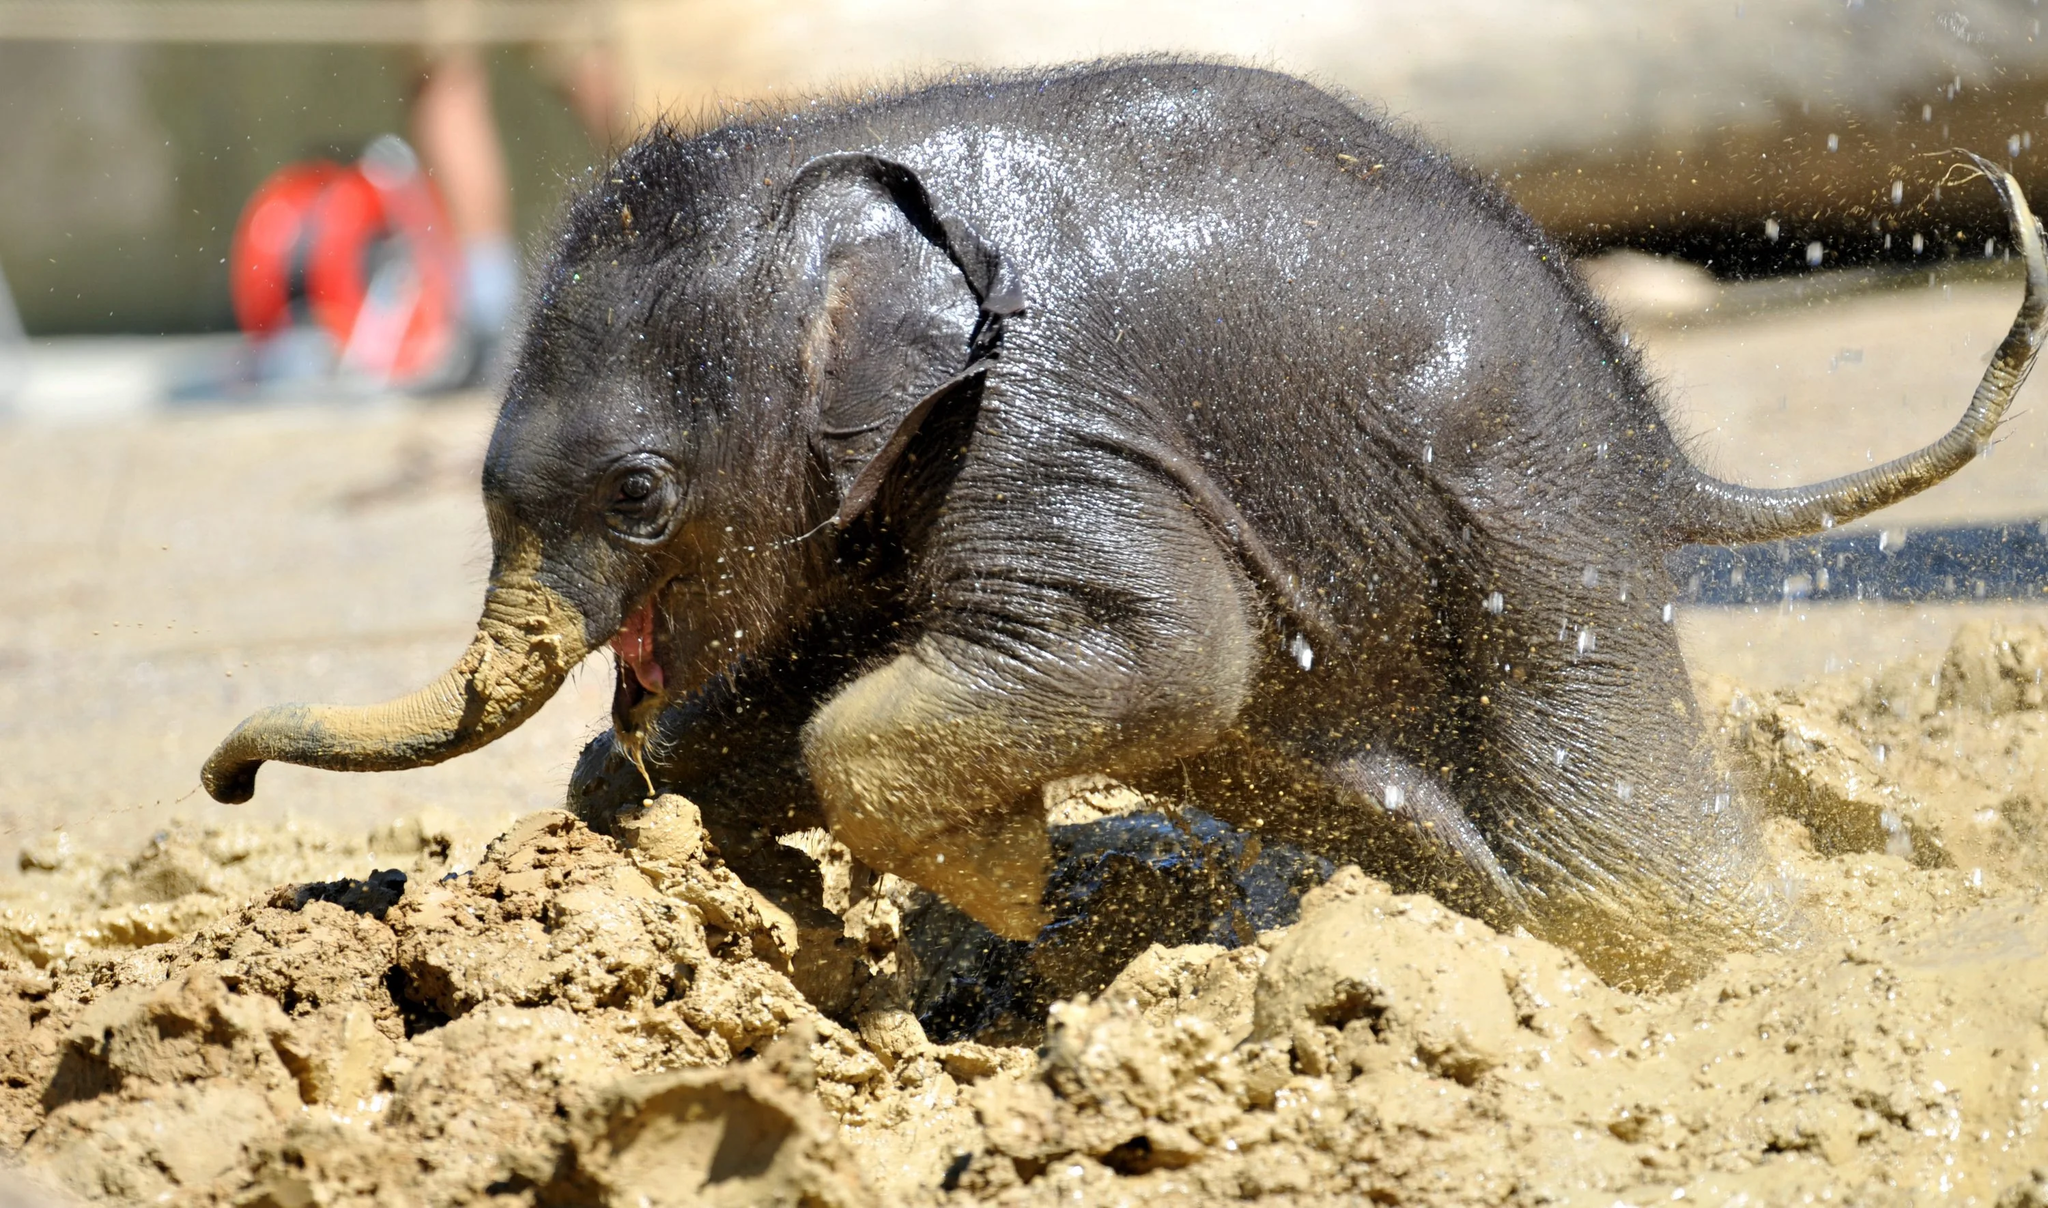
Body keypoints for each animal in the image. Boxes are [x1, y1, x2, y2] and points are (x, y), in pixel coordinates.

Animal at [207, 59, 2048, 982]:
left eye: (638, 495)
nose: (224, 778)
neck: (829, 177)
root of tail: (1663, 450)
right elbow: (799, 685)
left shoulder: (1042, 411)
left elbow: (1164, 650)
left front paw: (1012, 904)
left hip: (1529, 528)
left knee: (1621, 843)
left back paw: (1761, 989)